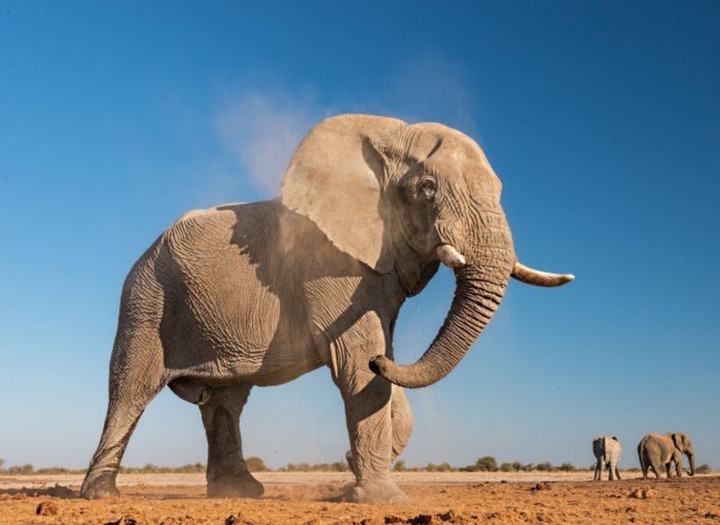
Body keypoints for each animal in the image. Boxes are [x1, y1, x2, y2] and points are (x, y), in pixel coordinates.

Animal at [80, 113, 573, 503]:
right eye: (427, 189)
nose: (346, 460)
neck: (390, 134)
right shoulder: (329, 264)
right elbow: (356, 361)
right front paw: (382, 499)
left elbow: (381, 366)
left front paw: (356, 475)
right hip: (146, 298)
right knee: (131, 389)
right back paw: (100, 495)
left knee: (226, 400)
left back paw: (240, 493)